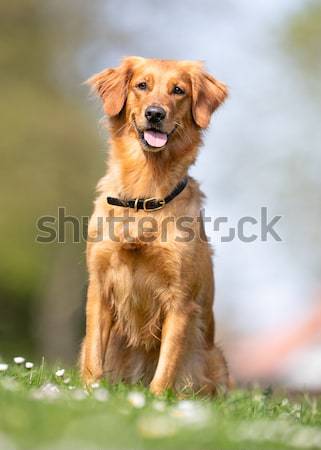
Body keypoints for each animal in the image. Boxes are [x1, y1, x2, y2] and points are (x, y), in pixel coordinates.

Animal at [80, 55, 230, 394]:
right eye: (141, 85)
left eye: (178, 90)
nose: (155, 113)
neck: (144, 194)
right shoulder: (99, 285)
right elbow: (94, 353)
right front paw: (89, 392)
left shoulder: (181, 298)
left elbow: (167, 364)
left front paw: (157, 398)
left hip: (214, 359)